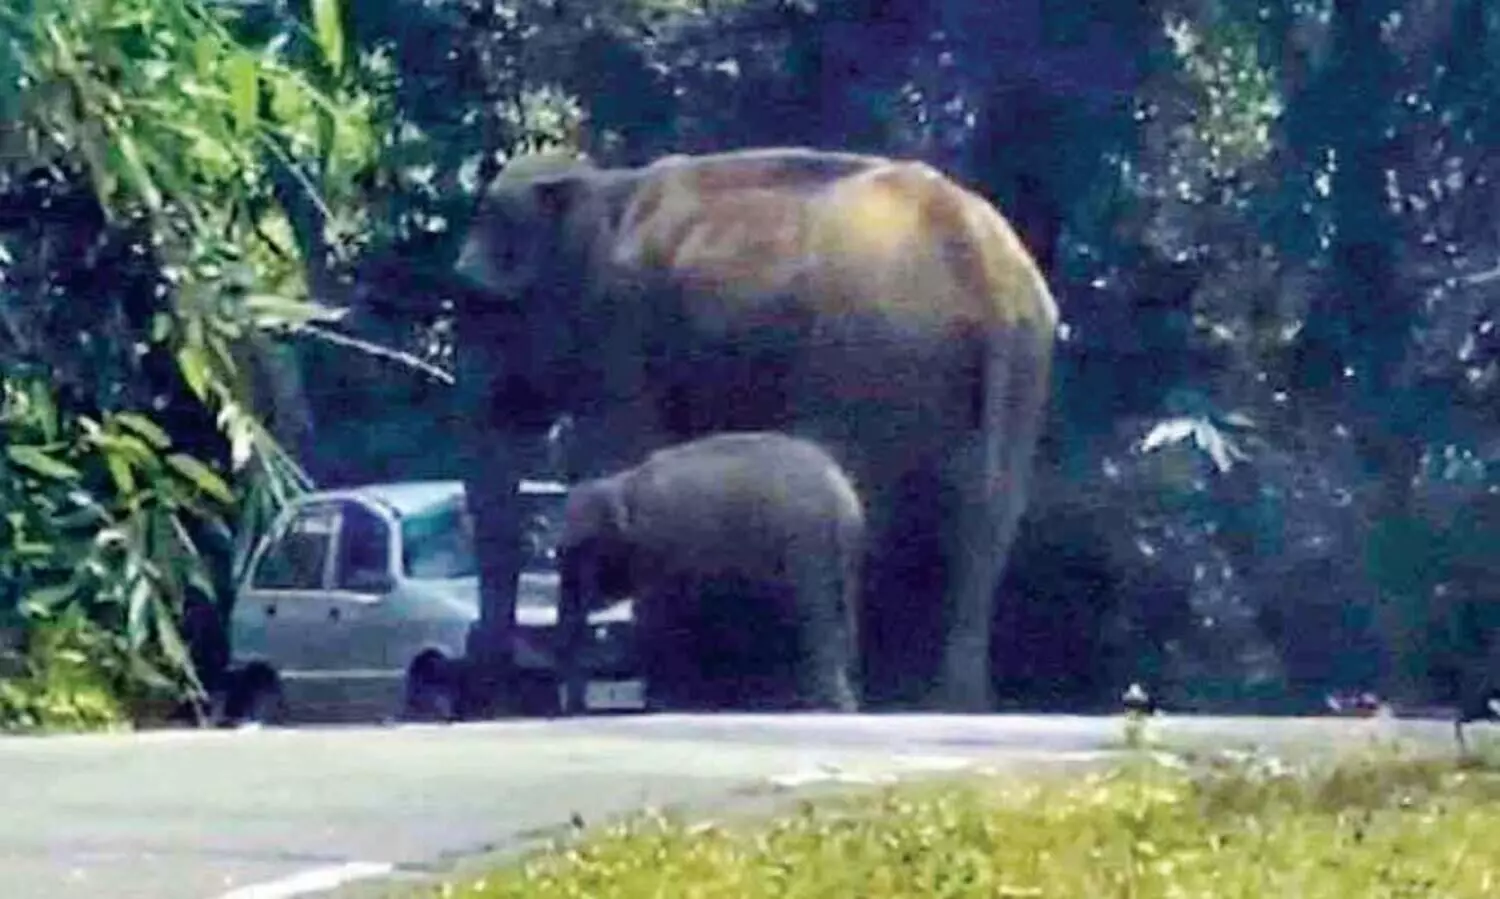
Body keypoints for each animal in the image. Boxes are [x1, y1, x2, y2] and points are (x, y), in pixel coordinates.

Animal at [554, 431, 864, 713]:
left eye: (581, 550)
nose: (573, 709)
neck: (623, 484)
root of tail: (843, 497)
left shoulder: (663, 552)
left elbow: (656, 619)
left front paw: (666, 704)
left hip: (805, 553)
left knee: (810, 616)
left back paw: (818, 705)